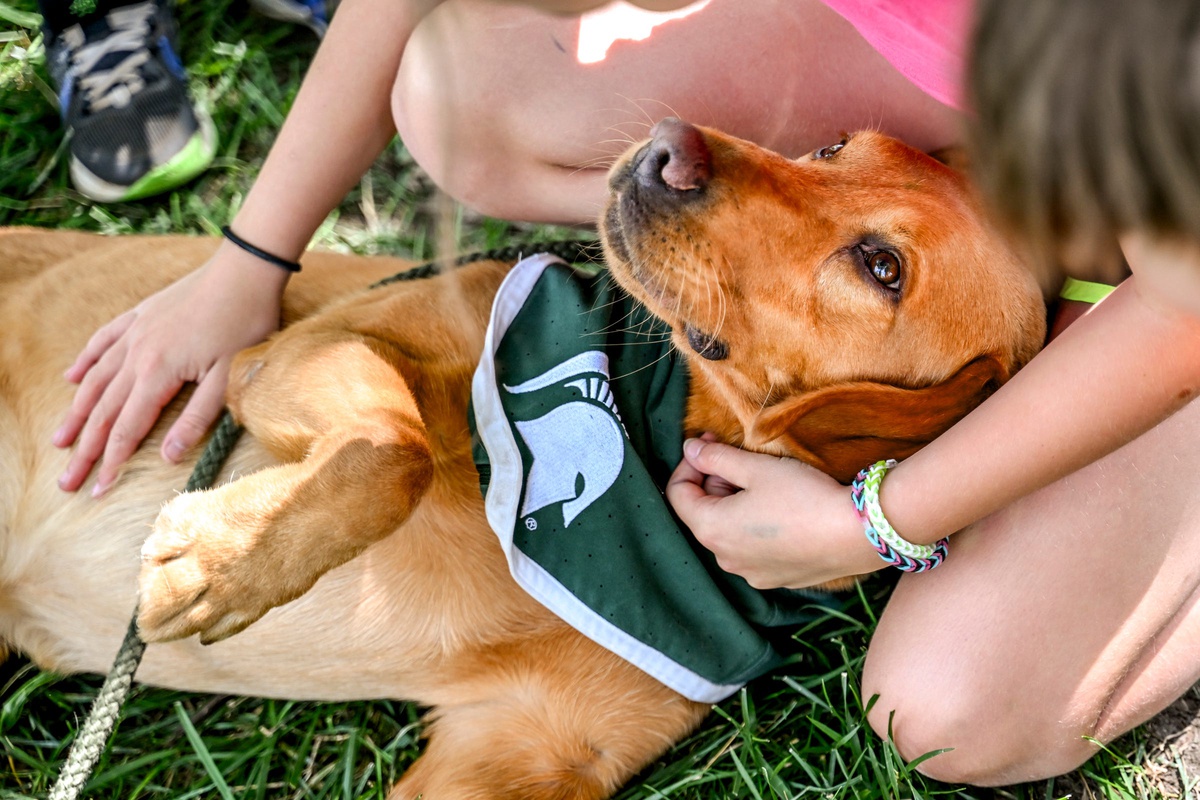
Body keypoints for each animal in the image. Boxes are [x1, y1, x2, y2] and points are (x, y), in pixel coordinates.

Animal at [0, 120, 1041, 800]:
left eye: (882, 268)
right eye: (831, 151)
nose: (670, 147)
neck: (646, 445)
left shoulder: (521, 760)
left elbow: (395, 453)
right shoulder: (294, 349)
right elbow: (395, 448)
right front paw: (218, 564)